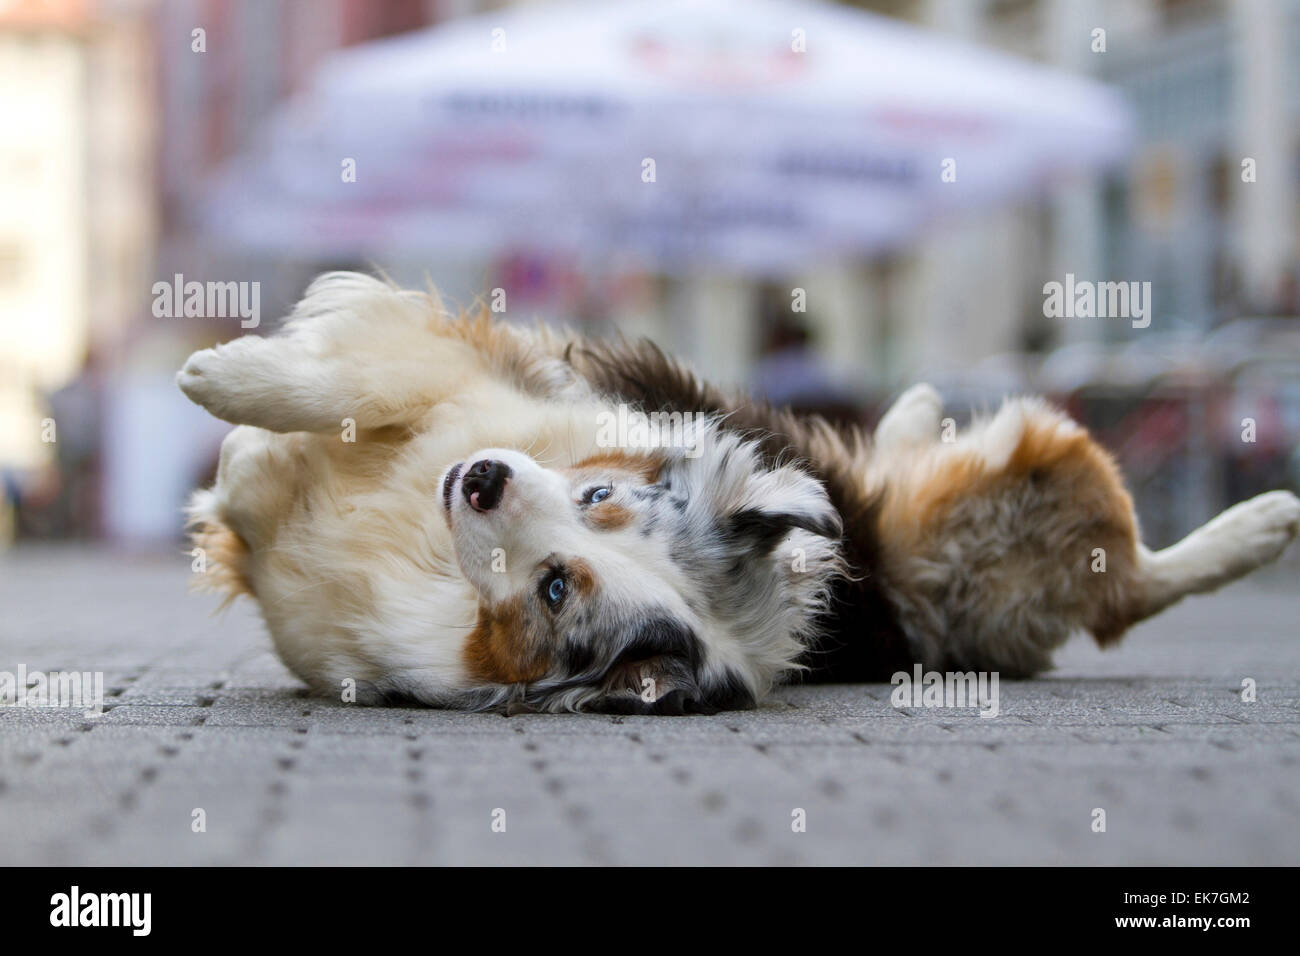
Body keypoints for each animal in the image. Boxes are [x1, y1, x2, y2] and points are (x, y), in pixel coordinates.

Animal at [180, 269, 1300, 712]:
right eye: (598, 497)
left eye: (557, 589)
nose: (485, 477)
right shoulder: (484, 390)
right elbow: (340, 391)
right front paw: (224, 383)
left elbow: (296, 442)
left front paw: (235, 437)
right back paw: (911, 409)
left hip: (1040, 477)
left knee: (1135, 580)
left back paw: (1260, 522)